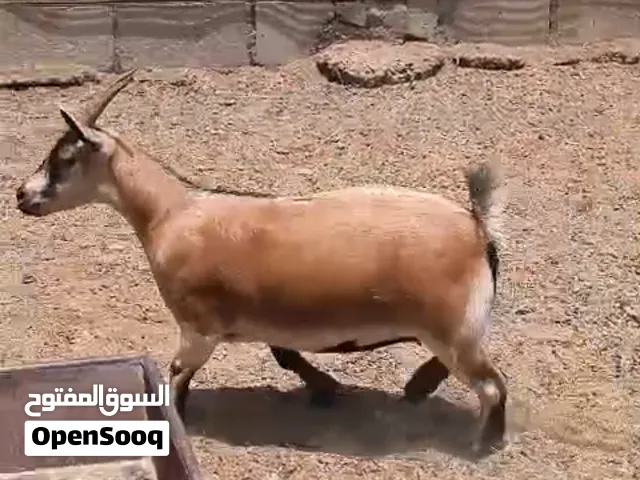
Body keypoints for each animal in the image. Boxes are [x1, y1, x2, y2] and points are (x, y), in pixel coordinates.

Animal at [15, 70, 508, 452]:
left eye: (65, 157)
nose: (21, 194)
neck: (170, 215)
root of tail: (476, 224)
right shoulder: (267, 316)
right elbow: (284, 355)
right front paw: (326, 389)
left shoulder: (198, 324)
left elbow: (177, 374)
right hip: (450, 328)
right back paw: (418, 390)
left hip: (451, 326)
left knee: (490, 384)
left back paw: (483, 443)